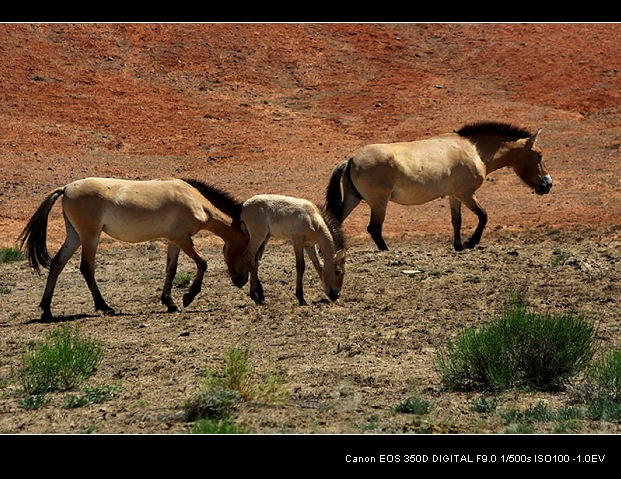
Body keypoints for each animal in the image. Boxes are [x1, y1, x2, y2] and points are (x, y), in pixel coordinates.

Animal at [18, 177, 249, 322]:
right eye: (247, 249)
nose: (241, 281)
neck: (195, 201)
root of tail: (66, 188)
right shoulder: (183, 238)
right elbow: (202, 262)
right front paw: (187, 298)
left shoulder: (174, 240)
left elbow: (171, 270)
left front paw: (169, 302)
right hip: (90, 237)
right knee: (86, 267)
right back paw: (105, 307)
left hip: (74, 236)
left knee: (57, 263)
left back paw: (47, 310)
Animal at [324, 121, 552, 251]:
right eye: (539, 155)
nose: (548, 184)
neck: (473, 150)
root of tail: (351, 160)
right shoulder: (466, 193)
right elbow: (484, 215)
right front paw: (471, 242)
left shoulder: (454, 196)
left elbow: (457, 221)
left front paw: (458, 246)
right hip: (378, 203)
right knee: (374, 228)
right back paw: (386, 251)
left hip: (354, 199)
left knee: (336, 221)